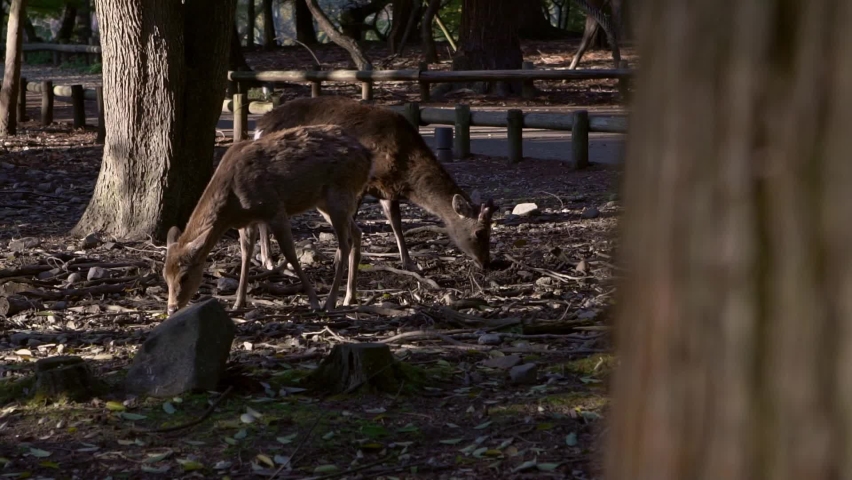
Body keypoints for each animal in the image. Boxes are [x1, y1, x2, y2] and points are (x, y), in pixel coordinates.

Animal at [163, 124, 373, 315]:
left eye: (184, 276)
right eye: (165, 276)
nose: (172, 308)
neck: (232, 206)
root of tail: (367, 156)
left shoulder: (274, 208)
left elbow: (290, 253)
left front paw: (313, 300)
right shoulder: (247, 221)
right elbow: (245, 254)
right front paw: (238, 303)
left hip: (339, 192)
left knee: (344, 243)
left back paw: (330, 302)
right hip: (325, 202)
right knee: (357, 232)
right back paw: (349, 297)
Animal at [252, 96, 495, 273]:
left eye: (491, 229)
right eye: (479, 233)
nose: (486, 264)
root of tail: (260, 127)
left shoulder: (386, 190)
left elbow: (396, 223)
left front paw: (409, 263)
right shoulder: (360, 184)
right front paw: (339, 260)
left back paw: (267, 259)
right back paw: (268, 261)